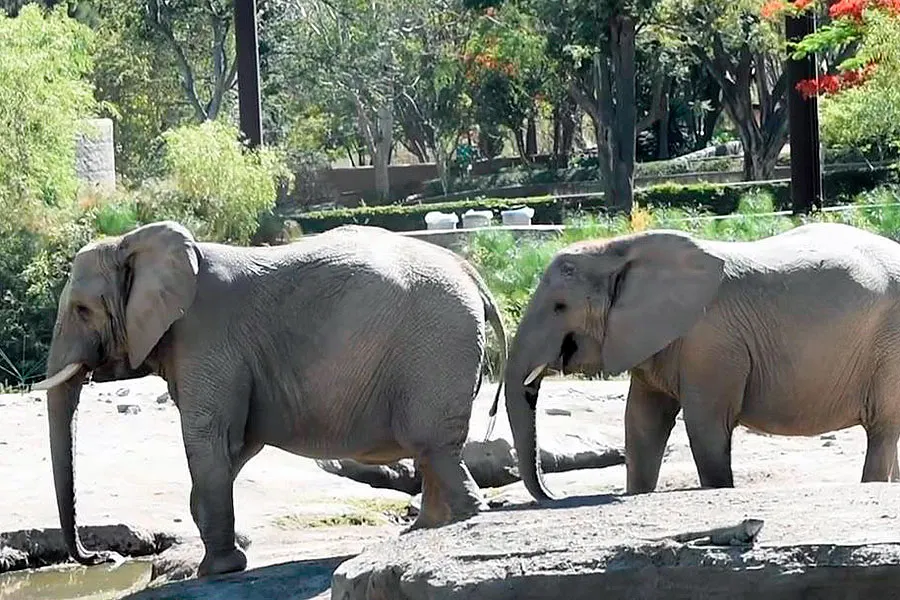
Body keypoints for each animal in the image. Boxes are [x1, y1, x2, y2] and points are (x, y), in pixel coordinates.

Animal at [31, 221, 507, 577]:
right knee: (431, 452)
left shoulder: (207, 337)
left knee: (434, 446)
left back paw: (458, 520)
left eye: (82, 310)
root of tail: (471, 273)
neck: (132, 241)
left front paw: (218, 570)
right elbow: (238, 443)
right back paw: (424, 529)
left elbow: (211, 437)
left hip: (437, 346)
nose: (102, 557)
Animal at [503, 222, 900, 503]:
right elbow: (642, 424)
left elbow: (705, 425)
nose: (555, 496)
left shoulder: (710, 342)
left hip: (888, 347)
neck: (616, 247)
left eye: (559, 307)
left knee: (883, 429)